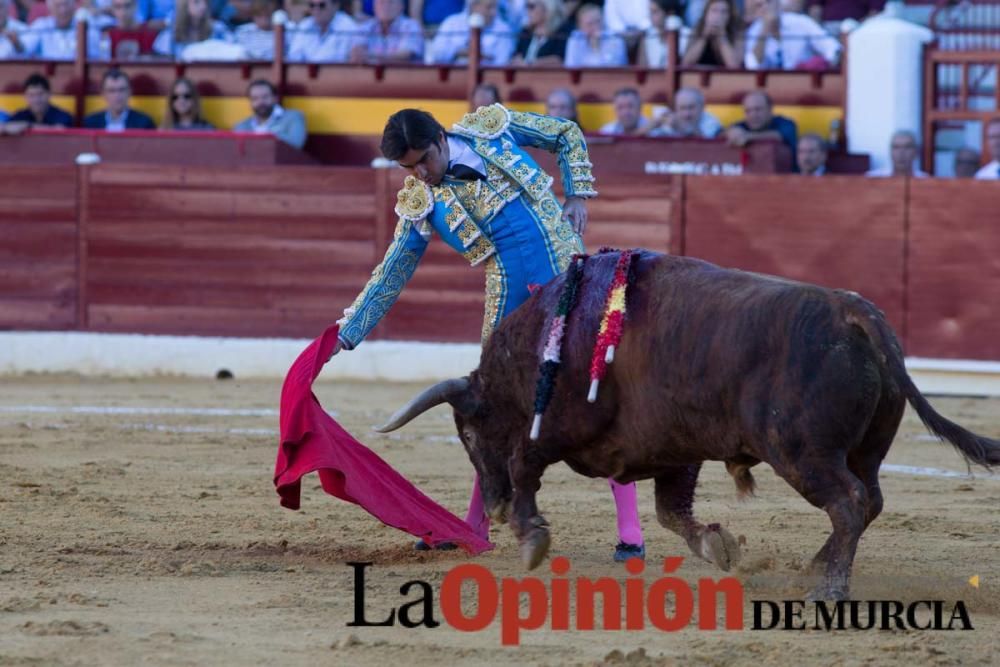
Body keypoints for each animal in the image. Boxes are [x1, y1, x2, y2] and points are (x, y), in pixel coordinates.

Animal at [376, 249, 1000, 600]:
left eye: (468, 434)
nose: (496, 507)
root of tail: (857, 313)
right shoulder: (676, 452)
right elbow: (671, 512)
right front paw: (718, 546)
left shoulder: (554, 428)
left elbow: (524, 463)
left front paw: (530, 538)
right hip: (864, 450)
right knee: (869, 500)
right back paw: (813, 568)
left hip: (803, 454)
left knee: (848, 502)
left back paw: (828, 587)